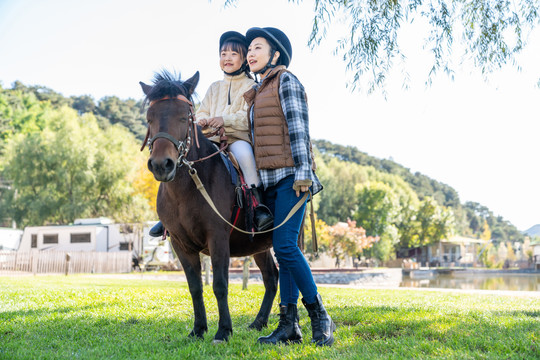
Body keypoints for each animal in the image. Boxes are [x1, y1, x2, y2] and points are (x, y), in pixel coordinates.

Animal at [139, 70, 278, 344]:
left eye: (185, 116)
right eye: (150, 118)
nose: (161, 164)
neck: (188, 188)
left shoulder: (217, 238)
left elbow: (220, 284)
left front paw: (223, 331)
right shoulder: (180, 244)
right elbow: (195, 287)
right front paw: (198, 329)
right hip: (259, 245)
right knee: (271, 277)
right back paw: (258, 322)